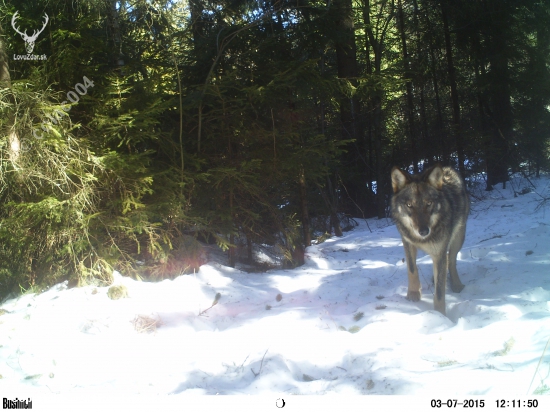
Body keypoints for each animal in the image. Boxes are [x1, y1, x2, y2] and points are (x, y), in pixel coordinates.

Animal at [392, 164, 470, 316]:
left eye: (428, 203)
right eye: (409, 205)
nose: (423, 231)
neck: (422, 239)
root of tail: (446, 167)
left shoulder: (439, 252)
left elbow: (439, 292)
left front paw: (440, 316)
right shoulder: (407, 242)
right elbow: (412, 269)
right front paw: (413, 294)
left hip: (458, 238)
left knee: (451, 260)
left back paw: (456, 284)